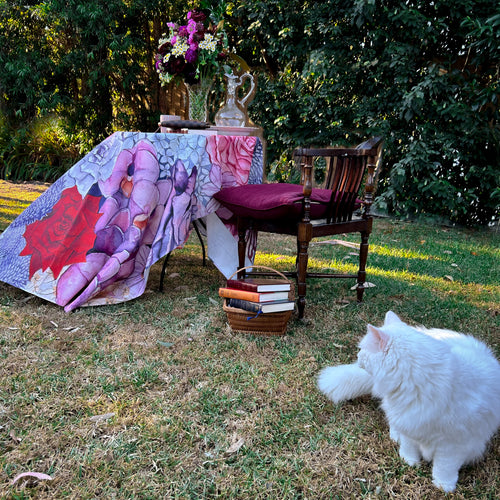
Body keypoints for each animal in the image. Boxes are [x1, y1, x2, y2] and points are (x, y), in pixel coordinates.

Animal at [316, 310, 500, 490]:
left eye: (362, 349)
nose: (358, 354)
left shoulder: (455, 444)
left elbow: (445, 467)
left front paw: (443, 486)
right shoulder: (409, 424)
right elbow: (408, 446)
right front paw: (409, 462)